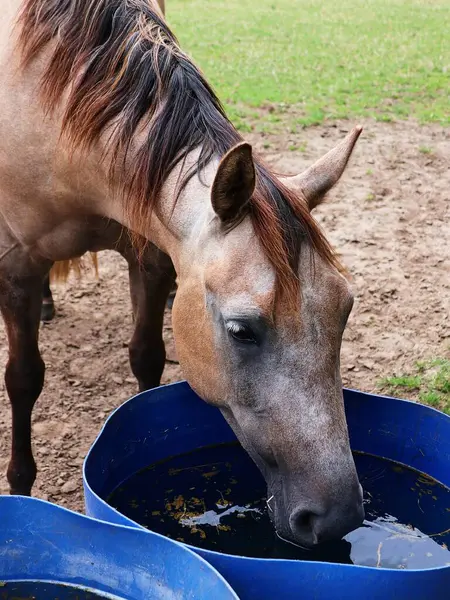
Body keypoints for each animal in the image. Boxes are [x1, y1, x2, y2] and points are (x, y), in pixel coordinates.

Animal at [0, 0, 364, 548]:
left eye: (345, 310)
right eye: (241, 330)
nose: (336, 517)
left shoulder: (151, 253)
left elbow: (147, 355)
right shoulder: (16, 266)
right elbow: (23, 380)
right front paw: (20, 488)